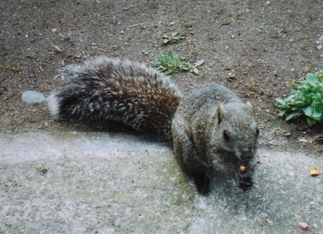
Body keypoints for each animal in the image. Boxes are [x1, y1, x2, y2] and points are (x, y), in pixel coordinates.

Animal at [47, 55, 260, 195]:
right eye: (226, 135)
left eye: (257, 130)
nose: (247, 153)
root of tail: (172, 125)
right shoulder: (208, 143)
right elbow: (220, 165)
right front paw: (236, 175)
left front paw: (248, 173)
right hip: (186, 148)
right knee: (192, 169)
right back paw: (202, 183)